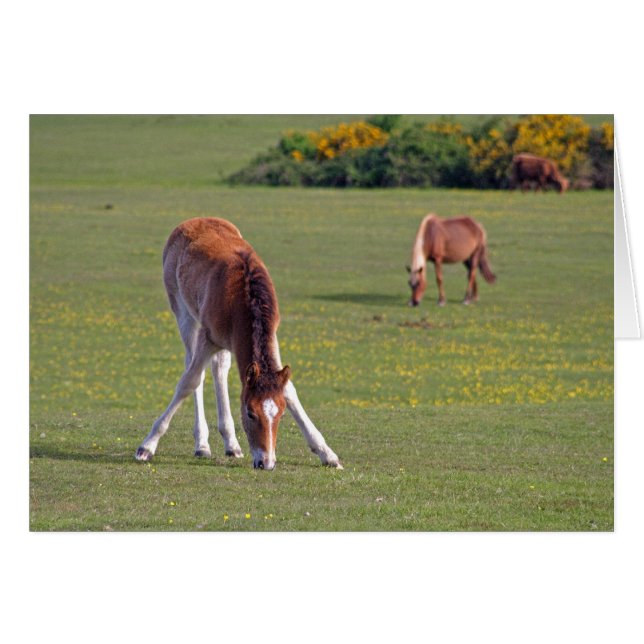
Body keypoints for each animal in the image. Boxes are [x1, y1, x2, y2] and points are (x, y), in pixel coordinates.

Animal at [135, 217, 342, 471]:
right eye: (250, 413)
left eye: (281, 415)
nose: (266, 463)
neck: (242, 299)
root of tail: (194, 220)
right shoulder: (208, 336)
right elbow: (189, 381)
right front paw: (147, 446)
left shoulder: (270, 337)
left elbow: (289, 390)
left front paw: (327, 453)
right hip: (184, 314)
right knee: (194, 367)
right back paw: (202, 444)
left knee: (219, 368)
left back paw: (231, 443)